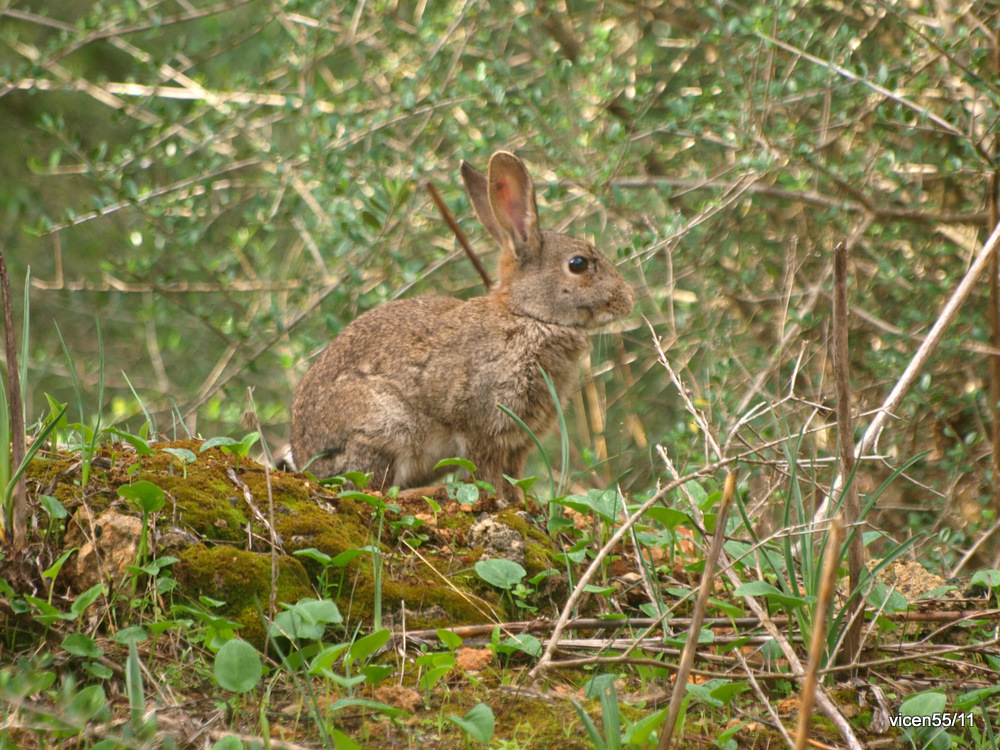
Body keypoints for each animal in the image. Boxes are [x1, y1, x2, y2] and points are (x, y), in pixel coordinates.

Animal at [290, 150, 632, 508]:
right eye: (578, 264)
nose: (628, 300)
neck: (530, 316)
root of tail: (306, 462)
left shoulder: (518, 442)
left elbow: (512, 475)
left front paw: (521, 501)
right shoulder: (483, 424)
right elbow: (486, 473)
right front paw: (502, 501)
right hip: (385, 425)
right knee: (376, 490)